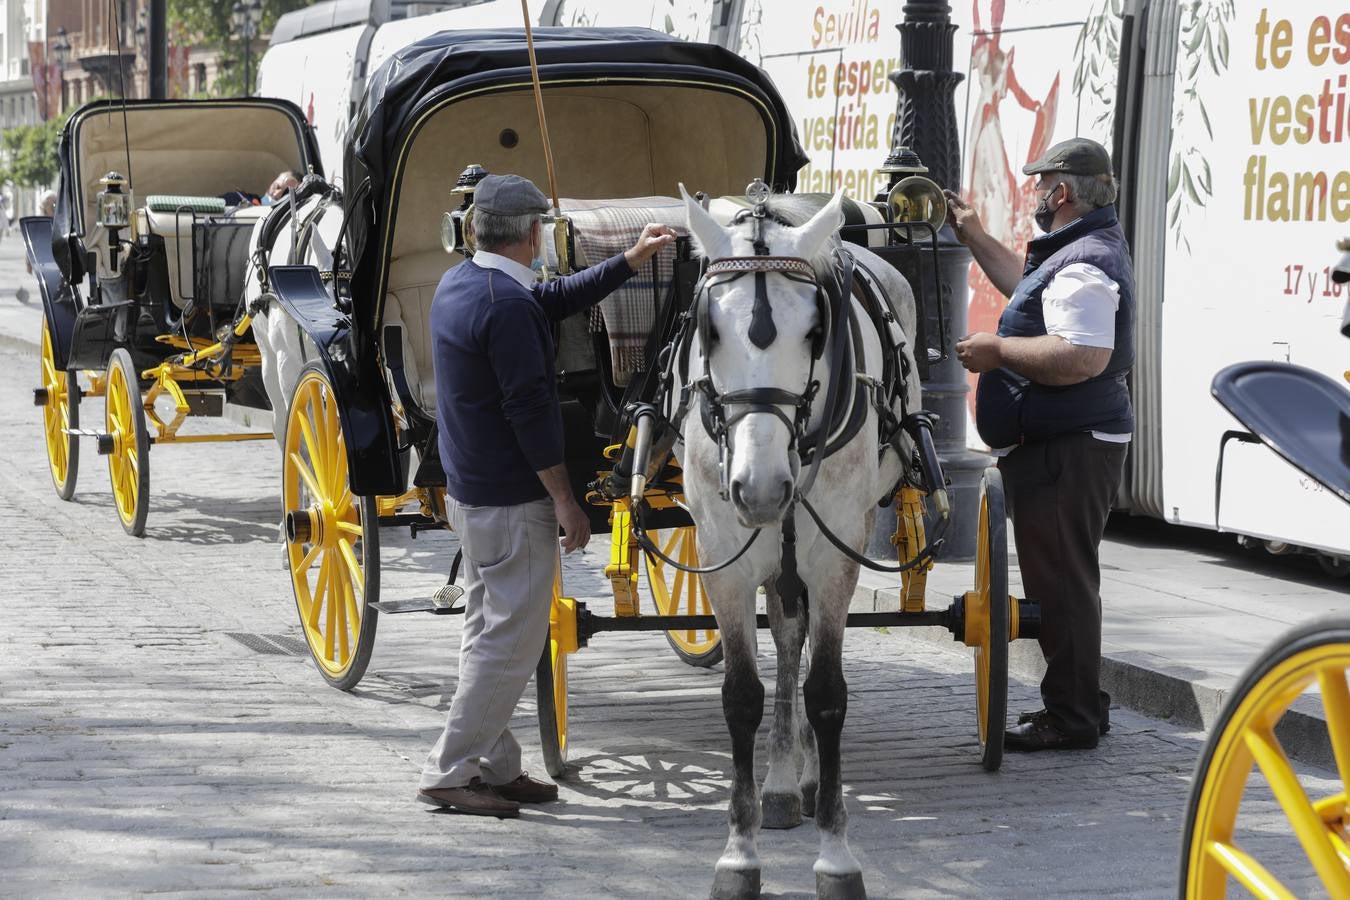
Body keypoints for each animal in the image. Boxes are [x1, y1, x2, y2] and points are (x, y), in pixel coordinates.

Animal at [669, 184, 923, 900]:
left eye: (815, 330)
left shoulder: (835, 555)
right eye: (709, 330)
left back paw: (801, 779)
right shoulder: (721, 558)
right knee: (786, 635)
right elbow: (742, 697)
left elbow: (828, 693)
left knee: (798, 642)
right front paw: (738, 853)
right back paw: (782, 783)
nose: (760, 488)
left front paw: (836, 855)